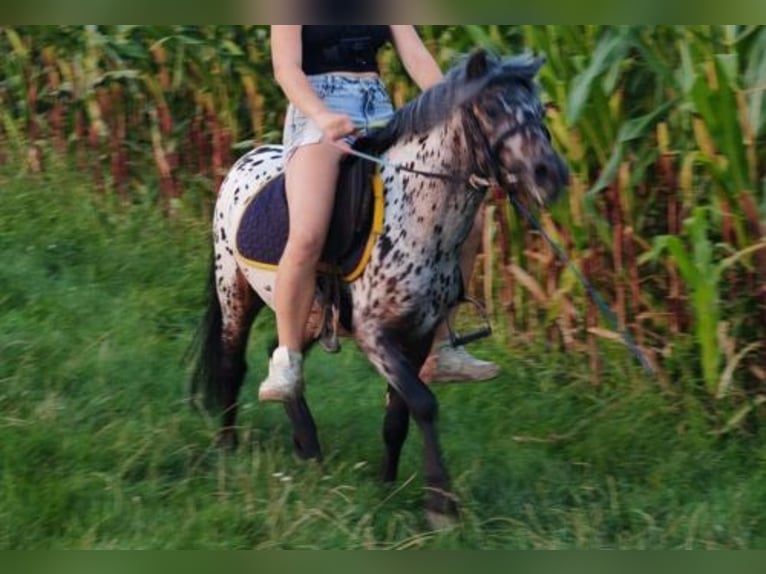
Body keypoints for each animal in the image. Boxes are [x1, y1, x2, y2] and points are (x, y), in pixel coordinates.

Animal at [192, 50, 568, 528]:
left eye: (539, 110)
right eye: (492, 109)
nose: (550, 175)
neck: (415, 216)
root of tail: (245, 161)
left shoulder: (419, 336)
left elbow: (398, 417)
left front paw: (387, 484)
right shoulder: (375, 337)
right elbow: (424, 404)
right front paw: (441, 504)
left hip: (307, 314)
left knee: (280, 356)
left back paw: (307, 446)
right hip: (235, 294)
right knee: (232, 363)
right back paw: (228, 449)